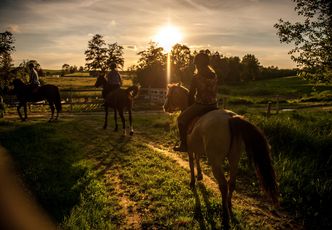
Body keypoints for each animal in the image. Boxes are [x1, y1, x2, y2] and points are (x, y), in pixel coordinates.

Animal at [163, 83, 278, 229]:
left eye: (168, 94)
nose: (165, 107)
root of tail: (231, 118)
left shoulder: (190, 149)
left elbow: (191, 162)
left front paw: (193, 181)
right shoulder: (197, 148)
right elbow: (197, 159)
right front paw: (200, 175)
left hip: (215, 162)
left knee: (223, 185)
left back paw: (225, 216)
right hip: (234, 159)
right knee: (232, 183)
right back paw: (229, 206)